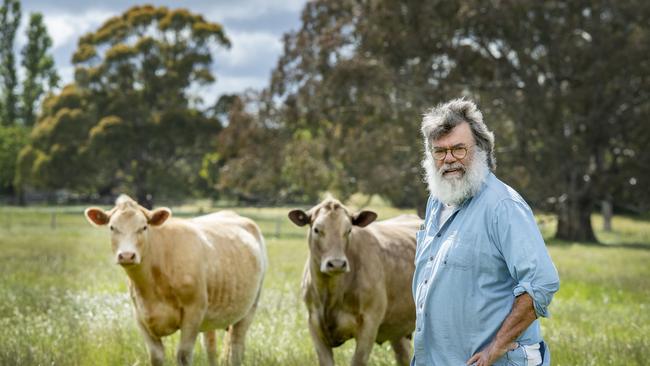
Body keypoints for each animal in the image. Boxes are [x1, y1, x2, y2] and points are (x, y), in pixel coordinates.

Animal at [84, 194, 266, 366]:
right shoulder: (140, 317)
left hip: (250, 307)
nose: (127, 255)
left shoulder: (194, 311)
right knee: (211, 347)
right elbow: (156, 357)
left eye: (143, 227)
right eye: (112, 227)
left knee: (236, 347)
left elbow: (183, 356)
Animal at [288, 199, 420, 364]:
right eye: (317, 229)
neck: (330, 295)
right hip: (397, 328)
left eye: (349, 230)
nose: (337, 263)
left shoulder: (369, 324)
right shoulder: (314, 323)